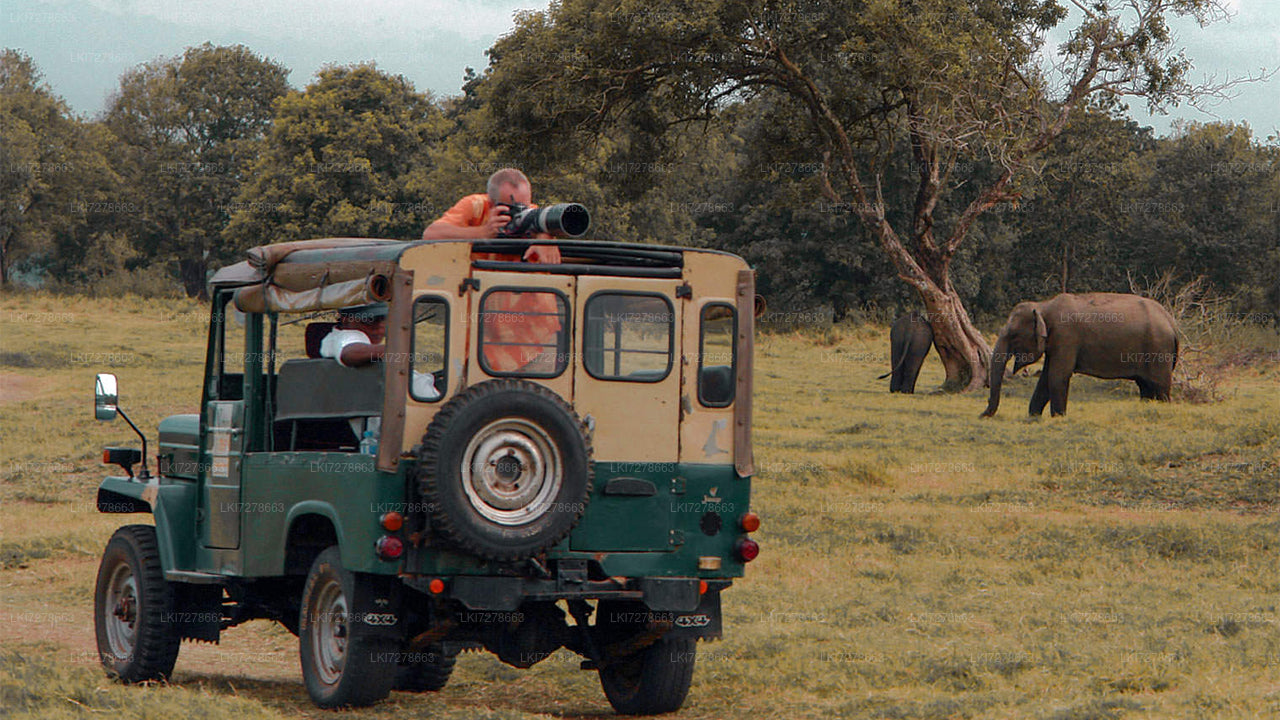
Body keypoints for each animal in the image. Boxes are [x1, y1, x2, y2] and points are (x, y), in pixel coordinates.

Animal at [977, 289, 1177, 415]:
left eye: (1013, 335)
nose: (982, 414)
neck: (1043, 306)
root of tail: (1171, 321)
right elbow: (1045, 377)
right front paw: (1033, 416)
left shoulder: (1066, 337)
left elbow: (1057, 376)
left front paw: (1058, 417)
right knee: (1145, 386)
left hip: (1159, 350)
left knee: (1159, 387)